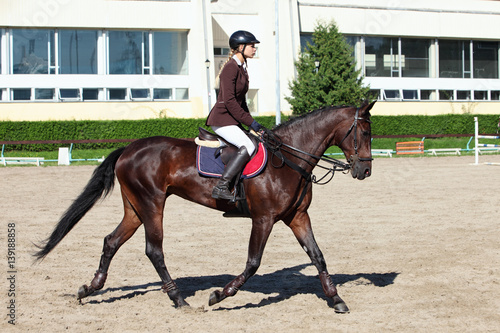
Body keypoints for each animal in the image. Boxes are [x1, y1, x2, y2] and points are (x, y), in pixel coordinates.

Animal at [35, 100, 376, 312]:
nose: (365, 171)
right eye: (364, 132)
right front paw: (219, 296)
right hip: (151, 203)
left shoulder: (297, 217)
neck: (289, 158)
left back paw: (89, 288)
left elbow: (318, 256)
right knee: (154, 250)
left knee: (111, 241)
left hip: (134, 207)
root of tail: (129, 149)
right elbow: (253, 263)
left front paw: (336, 299)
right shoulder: (263, 219)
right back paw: (178, 299)